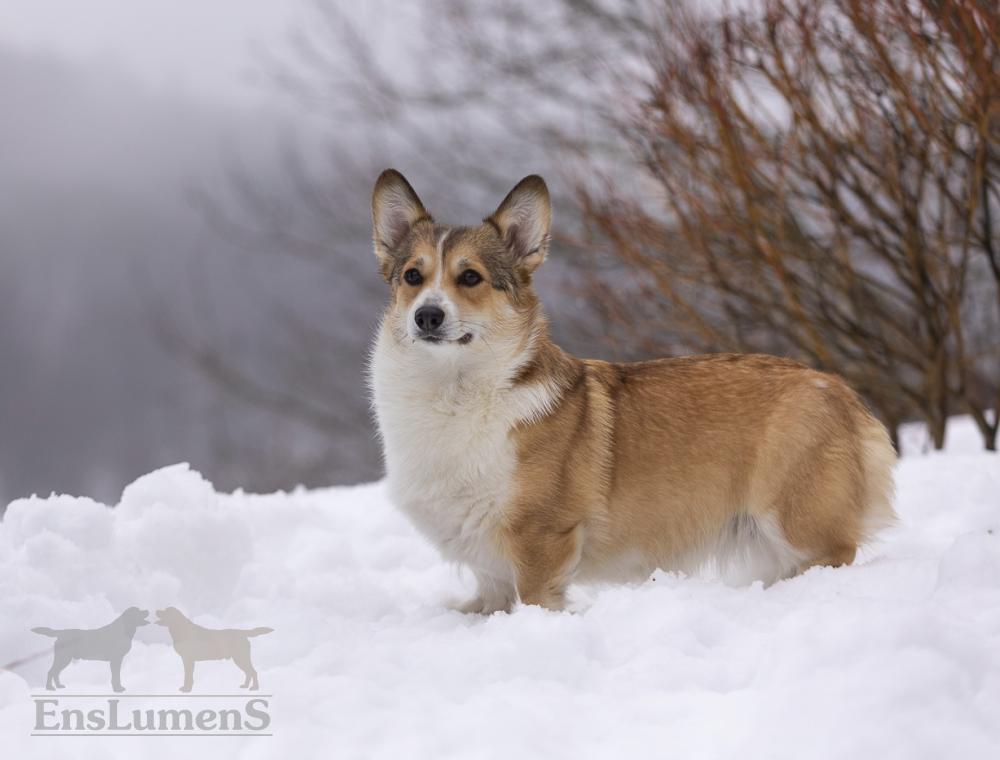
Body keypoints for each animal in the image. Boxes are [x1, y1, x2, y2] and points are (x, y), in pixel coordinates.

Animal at [370, 168, 900, 612]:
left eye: (470, 277)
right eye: (413, 276)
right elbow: (488, 601)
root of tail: (843, 393)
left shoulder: (542, 541)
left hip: (797, 522)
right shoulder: (490, 568)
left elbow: (537, 600)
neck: (452, 391)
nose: (427, 316)